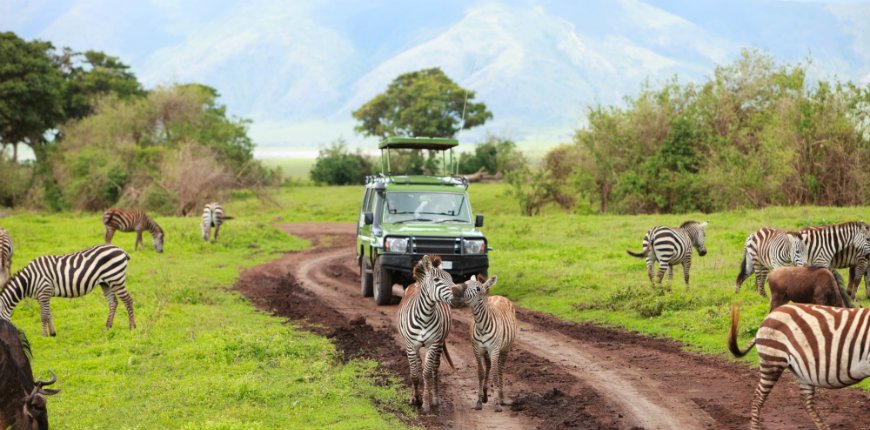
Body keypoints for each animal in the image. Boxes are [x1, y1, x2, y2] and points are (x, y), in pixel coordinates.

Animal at [0, 244, 136, 338]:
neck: (29, 279)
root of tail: (120, 249)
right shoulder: (42, 295)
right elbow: (48, 314)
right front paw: (52, 333)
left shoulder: (44, 291)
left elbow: (43, 316)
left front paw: (44, 335)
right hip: (106, 282)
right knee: (113, 302)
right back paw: (108, 326)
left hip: (115, 278)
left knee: (128, 300)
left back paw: (132, 326)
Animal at [396, 255, 460, 414]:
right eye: (436, 280)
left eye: (451, 278)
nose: (459, 294)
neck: (425, 316)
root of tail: (416, 283)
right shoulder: (410, 345)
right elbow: (414, 374)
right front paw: (415, 399)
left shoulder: (433, 344)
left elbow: (426, 373)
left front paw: (425, 403)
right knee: (419, 367)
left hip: (439, 343)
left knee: (434, 369)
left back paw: (435, 398)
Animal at [464, 274, 516, 412]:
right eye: (464, 284)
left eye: (478, 288)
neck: (481, 325)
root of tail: (500, 296)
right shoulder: (477, 349)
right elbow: (481, 373)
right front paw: (479, 401)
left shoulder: (494, 349)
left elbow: (495, 374)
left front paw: (497, 404)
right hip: (487, 351)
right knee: (488, 366)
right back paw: (486, 396)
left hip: (505, 348)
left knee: (500, 369)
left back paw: (501, 398)